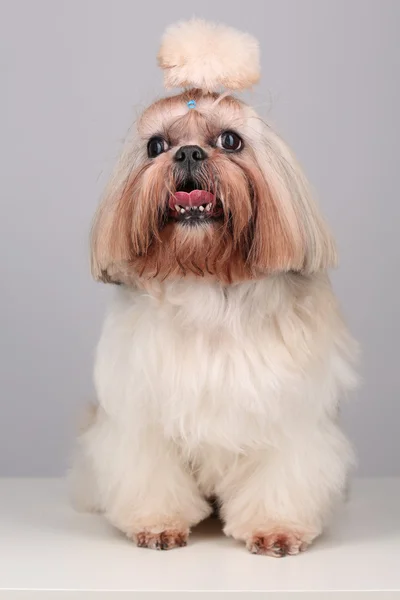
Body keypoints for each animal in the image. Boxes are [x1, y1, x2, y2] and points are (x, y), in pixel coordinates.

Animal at [70, 18, 358, 556]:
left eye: (230, 140)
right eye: (155, 146)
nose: (187, 152)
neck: (208, 281)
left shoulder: (289, 419)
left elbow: (281, 475)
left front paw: (275, 529)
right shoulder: (142, 419)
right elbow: (151, 473)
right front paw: (157, 524)